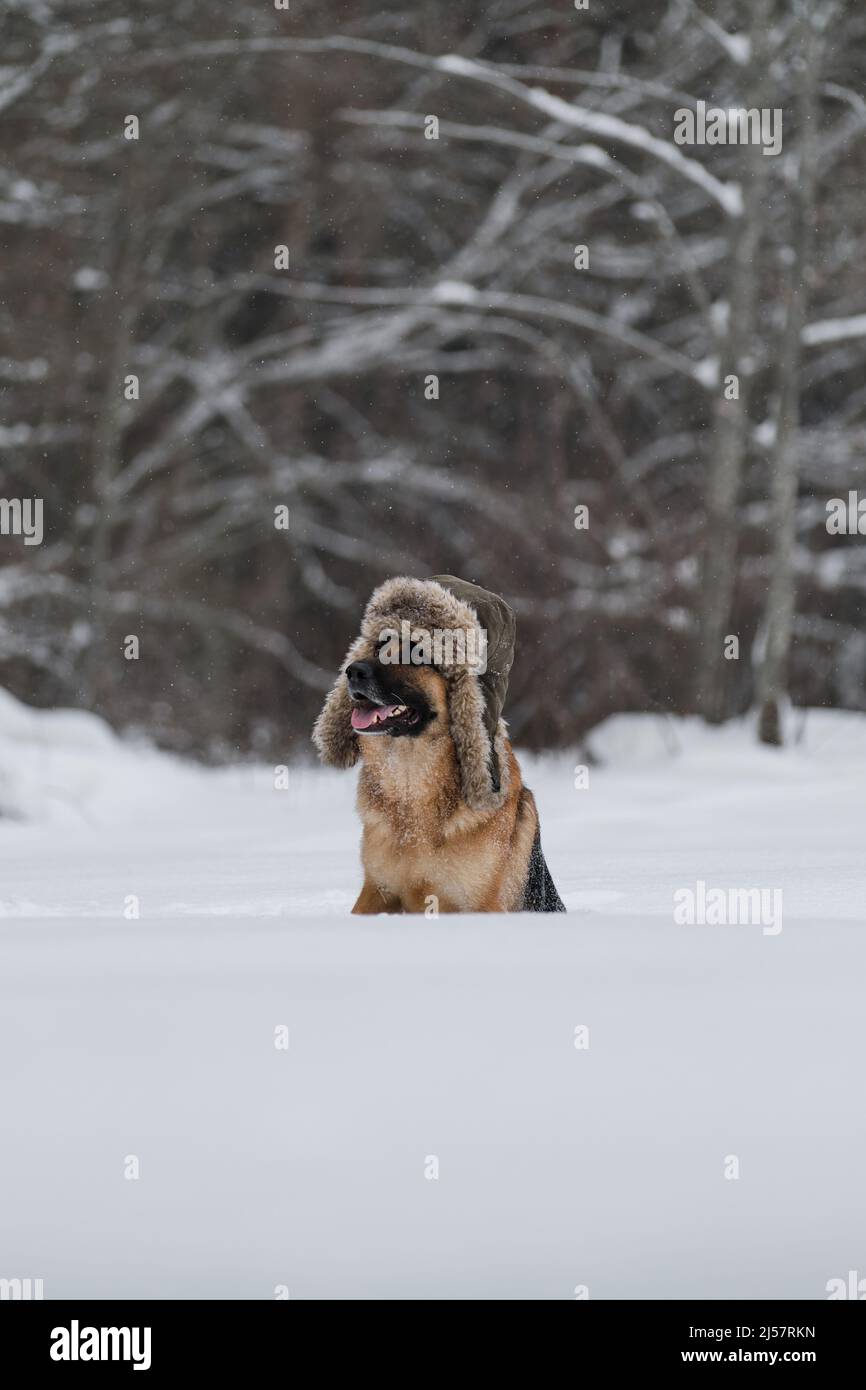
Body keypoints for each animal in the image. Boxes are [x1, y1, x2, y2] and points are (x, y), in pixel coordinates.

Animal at [312, 572, 569, 911]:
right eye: (379, 645)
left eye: (416, 653)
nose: (352, 671)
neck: (410, 782)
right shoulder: (377, 890)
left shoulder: (482, 905)